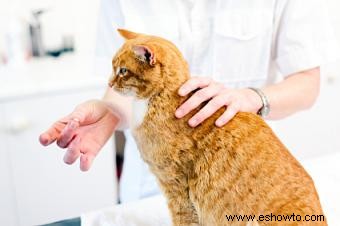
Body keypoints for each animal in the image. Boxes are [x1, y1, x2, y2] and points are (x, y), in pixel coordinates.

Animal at [109, 29, 326, 225]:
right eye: (112, 68)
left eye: (123, 71)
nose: (109, 84)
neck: (158, 101)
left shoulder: (176, 189)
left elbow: (183, 219)